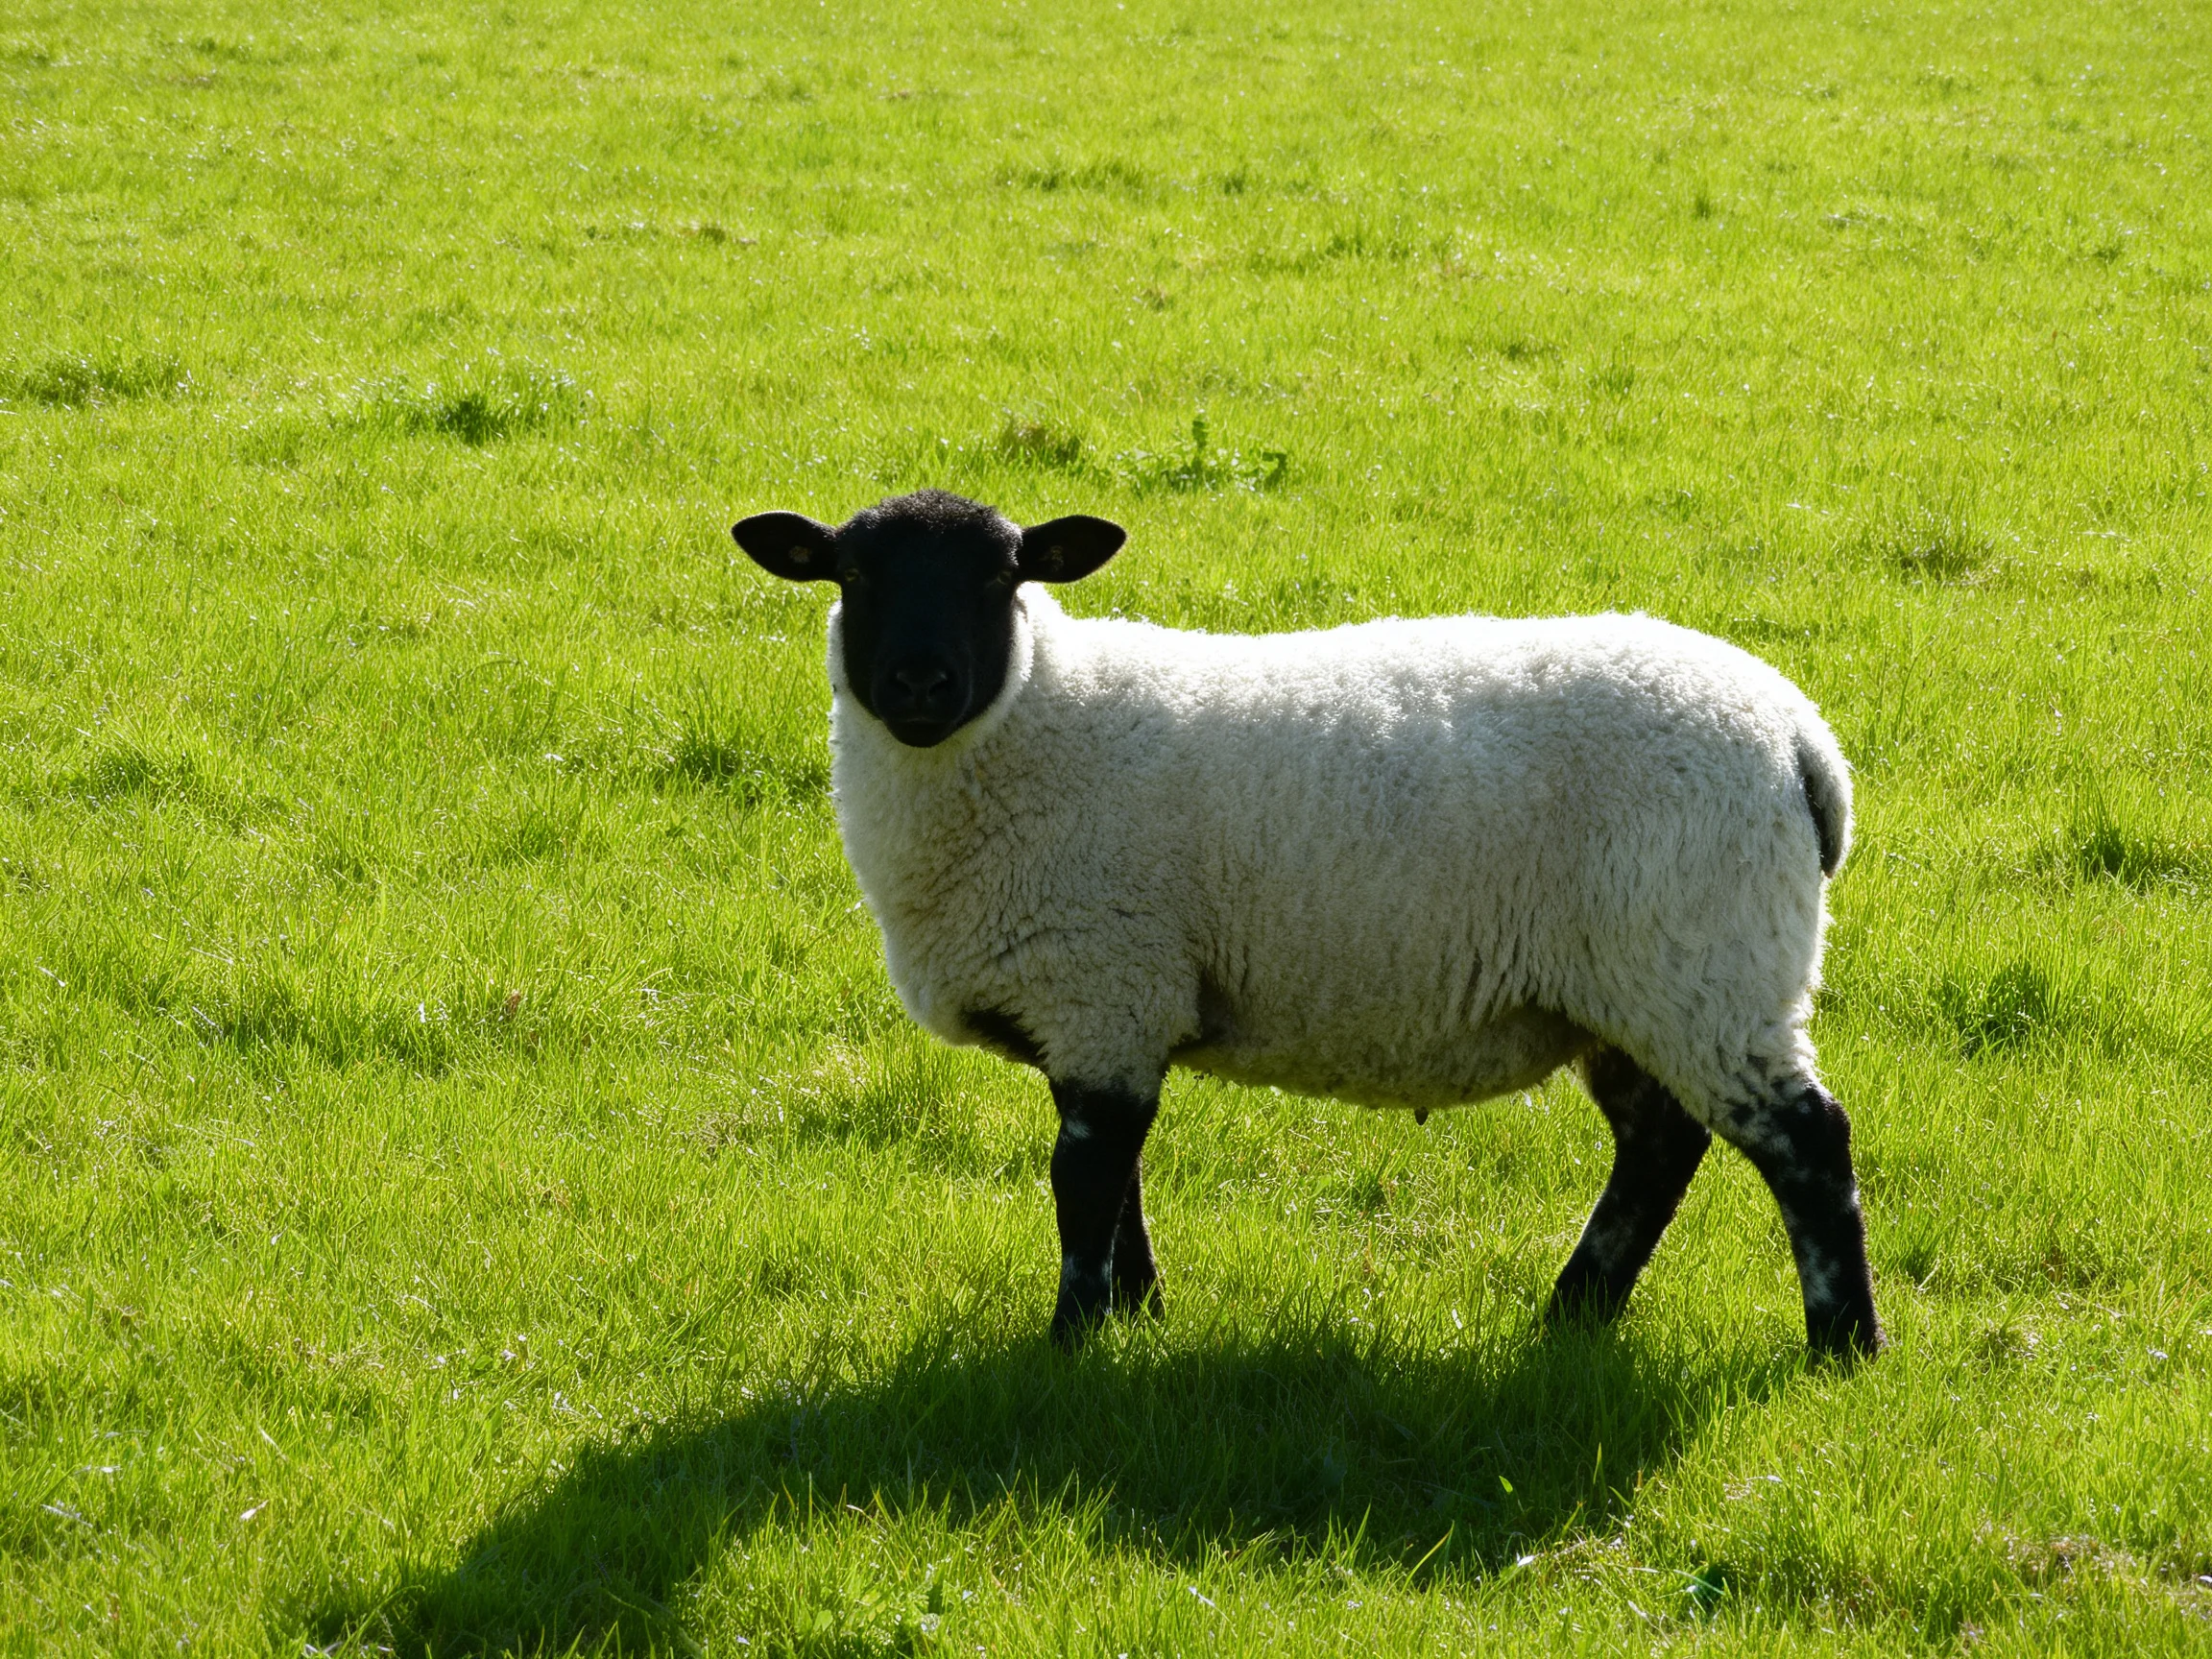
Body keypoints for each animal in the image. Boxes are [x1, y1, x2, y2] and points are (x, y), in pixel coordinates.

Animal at [733, 489, 1881, 1359]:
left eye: (1001, 578)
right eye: (855, 577)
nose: (920, 683)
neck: (1034, 720)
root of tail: (1800, 738)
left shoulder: (1103, 981)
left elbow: (1084, 1183)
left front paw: (1073, 1340)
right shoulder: (1113, 1006)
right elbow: (1120, 1180)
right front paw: (1138, 1316)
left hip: (1707, 960)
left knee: (1805, 1144)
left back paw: (1842, 1347)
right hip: (1638, 987)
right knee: (1658, 1144)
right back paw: (1573, 1312)